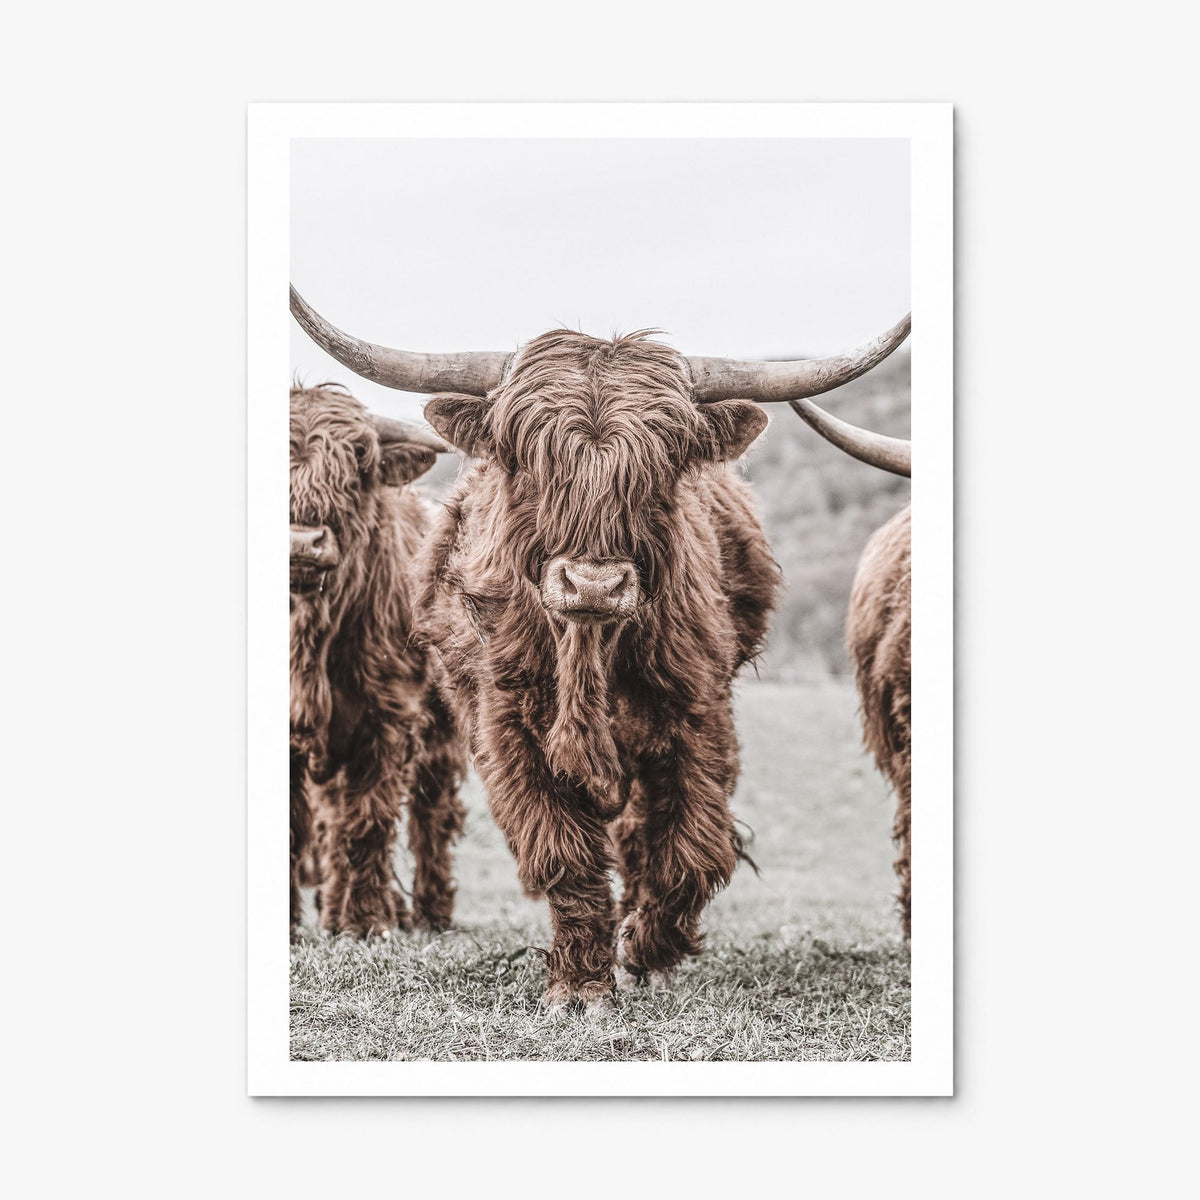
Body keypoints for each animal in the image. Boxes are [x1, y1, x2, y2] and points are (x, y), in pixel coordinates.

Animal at [290, 383, 466, 938]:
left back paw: (429, 914)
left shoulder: (387, 717)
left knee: (433, 815)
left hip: (442, 736)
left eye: (357, 463)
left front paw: (368, 921)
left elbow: (369, 820)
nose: (302, 543)